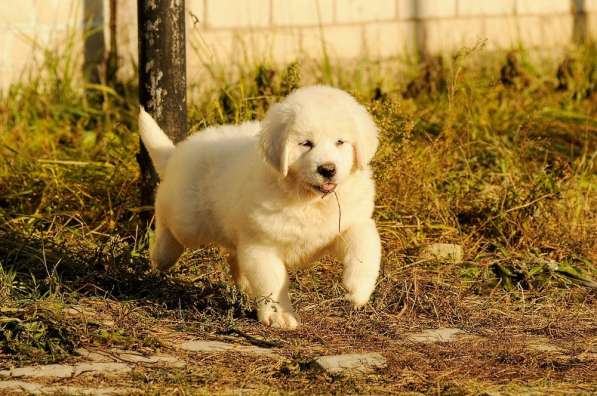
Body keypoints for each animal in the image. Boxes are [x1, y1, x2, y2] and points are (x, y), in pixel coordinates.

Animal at [139, 86, 380, 328]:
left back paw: (244, 283)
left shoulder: (350, 221)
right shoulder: (262, 245)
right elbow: (272, 281)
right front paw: (279, 315)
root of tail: (176, 153)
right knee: (168, 221)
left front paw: (358, 290)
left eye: (340, 142)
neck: (309, 200)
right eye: (305, 143)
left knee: (233, 254)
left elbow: (365, 246)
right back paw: (161, 254)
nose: (328, 169)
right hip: (188, 219)